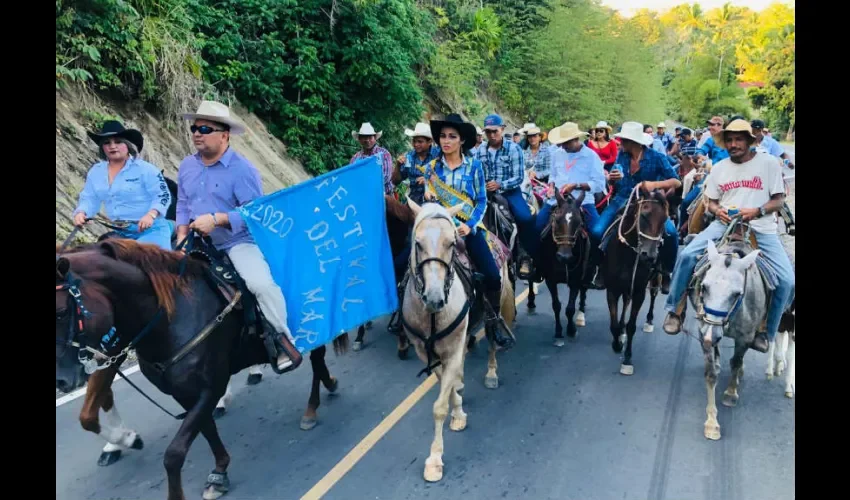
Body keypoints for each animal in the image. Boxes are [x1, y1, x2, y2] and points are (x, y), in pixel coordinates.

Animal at [55, 238, 344, 500]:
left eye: (60, 312)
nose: (62, 380)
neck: (170, 318)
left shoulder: (210, 387)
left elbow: (174, 453)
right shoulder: (184, 394)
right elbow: (206, 430)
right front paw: (220, 472)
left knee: (317, 359)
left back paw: (312, 407)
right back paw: (329, 385)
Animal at [400, 200, 512, 484]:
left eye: (452, 242)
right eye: (417, 243)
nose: (434, 298)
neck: (431, 315)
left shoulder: (451, 348)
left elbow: (439, 406)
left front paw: (435, 460)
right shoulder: (427, 352)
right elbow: (446, 386)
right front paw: (458, 411)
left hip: (495, 303)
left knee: (492, 340)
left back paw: (492, 373)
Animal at [528, 189, 588, 346]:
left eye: (579, 223)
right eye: (556, 220)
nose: (564, 256)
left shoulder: (575, 279)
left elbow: (570, 308)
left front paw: (571, 330)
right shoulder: (551, 279)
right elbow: (556, 305)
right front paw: (559, 333)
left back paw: (581, 314)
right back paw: (531, 303)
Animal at [596, 188, 668, 376]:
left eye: (665, 219)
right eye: (643, 215)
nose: (649, 256)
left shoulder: (638, 292)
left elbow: (632, 326)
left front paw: (627, 359)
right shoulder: (612, 290)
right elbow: (614, 324)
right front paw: (617, 343)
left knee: (653, 293)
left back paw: (649, 320)